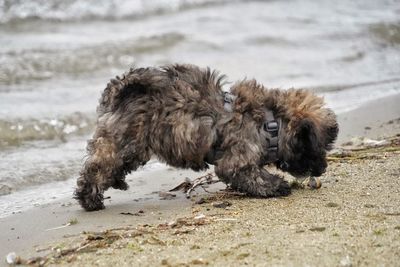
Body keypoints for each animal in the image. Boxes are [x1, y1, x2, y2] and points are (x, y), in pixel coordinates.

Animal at [74, 64, 338, 211]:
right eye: (319, 148)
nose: (323, 169)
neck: (271, 121)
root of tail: (121, 90)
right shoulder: (237, 161)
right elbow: (254, 176)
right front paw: (276, 185)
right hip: (125, 143)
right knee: (96, 168)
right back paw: (90, 200)